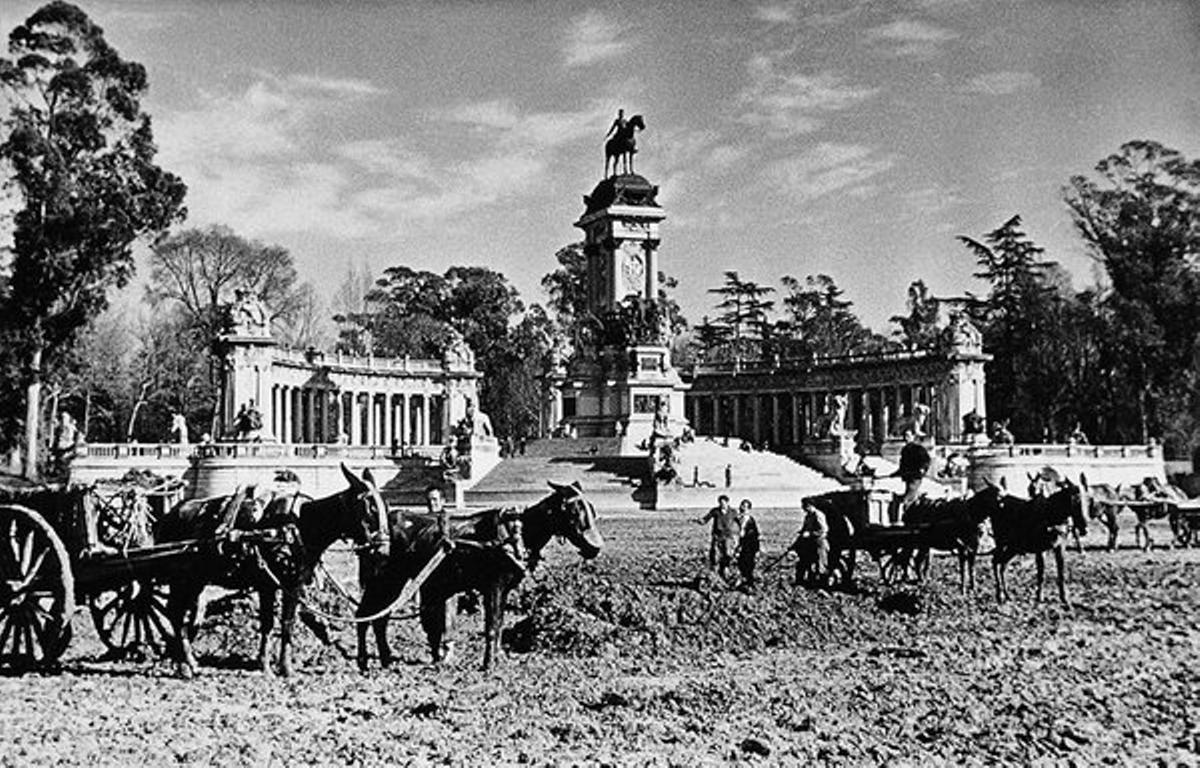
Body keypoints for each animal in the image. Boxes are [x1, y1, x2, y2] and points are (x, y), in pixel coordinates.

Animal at [157, 460, 384, 676]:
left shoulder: (291, 585)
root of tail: (170, 515)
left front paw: (278, 665)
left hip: (195, 581)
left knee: (177, 613)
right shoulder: (269, 584)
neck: (296, 526)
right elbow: (271, 622)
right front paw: (272, 665)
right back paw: (186, 664)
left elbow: (284, 622)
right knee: (175, 613)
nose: (383, 547)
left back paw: (185, 661)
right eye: (371, 507)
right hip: (181, 579)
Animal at [352, 477, 600, 667]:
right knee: (366, 616)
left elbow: (498, 625)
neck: (516, 533)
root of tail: (375, 531)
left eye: (591, 509)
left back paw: (386, 660)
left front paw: (497, 660)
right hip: (384, 581)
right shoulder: (493, 587)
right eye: (572, 510)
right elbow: (490, 627)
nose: (595, 547)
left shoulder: (504, 589)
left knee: (380, 618)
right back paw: (365, 661)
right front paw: (488, 665)